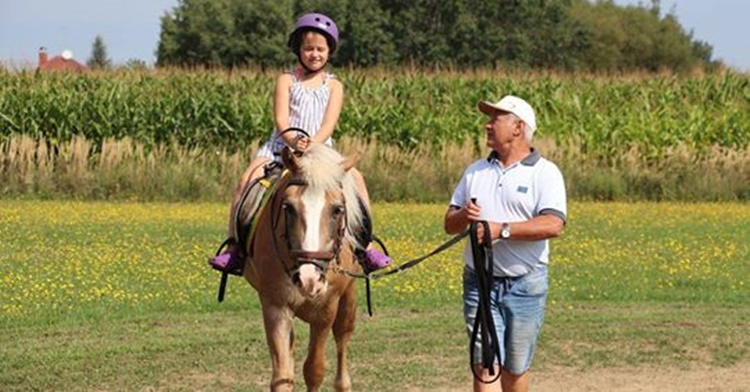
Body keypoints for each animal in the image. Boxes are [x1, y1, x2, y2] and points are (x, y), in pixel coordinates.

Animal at [244, 144, 368, 392]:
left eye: (337, 209)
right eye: (288, 207)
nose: (309, 279)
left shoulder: (326, 308)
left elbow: (314, 370)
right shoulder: (275, 306)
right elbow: (283, 376)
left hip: (348, 296)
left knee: (342, 336)